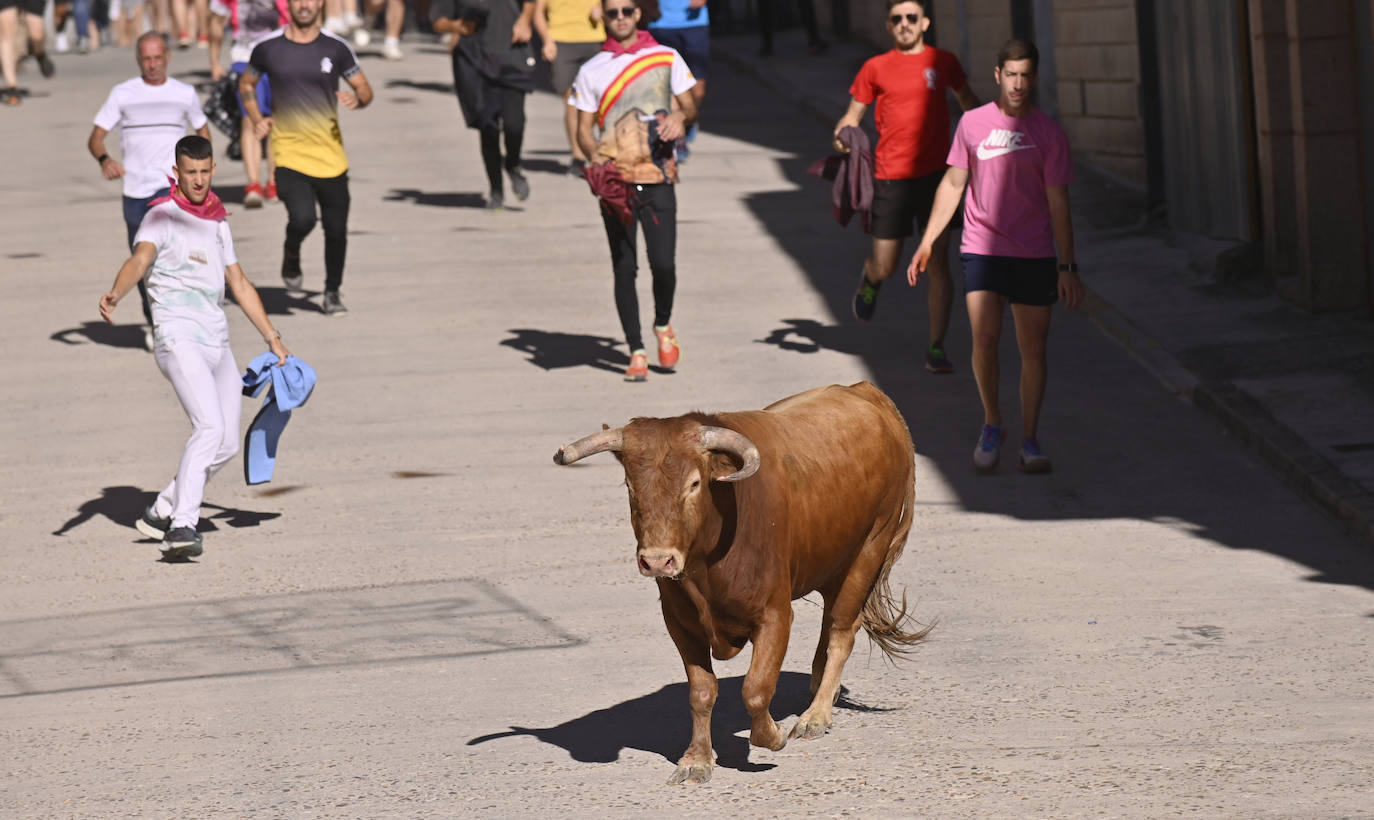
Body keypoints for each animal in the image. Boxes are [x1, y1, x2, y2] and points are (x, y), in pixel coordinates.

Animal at [552, 381, 928, 785]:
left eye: (694, 483)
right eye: (630, 486)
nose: (657, 560)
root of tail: (866, 392)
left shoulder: (775, 615)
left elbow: (756, 687)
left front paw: (773, 736)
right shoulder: (680, 620)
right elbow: (701, 691)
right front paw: (697, 759)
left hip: (870, 547)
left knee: (843, 629)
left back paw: (816, 715)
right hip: (831, 562)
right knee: (830, 624)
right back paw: (818, 692)